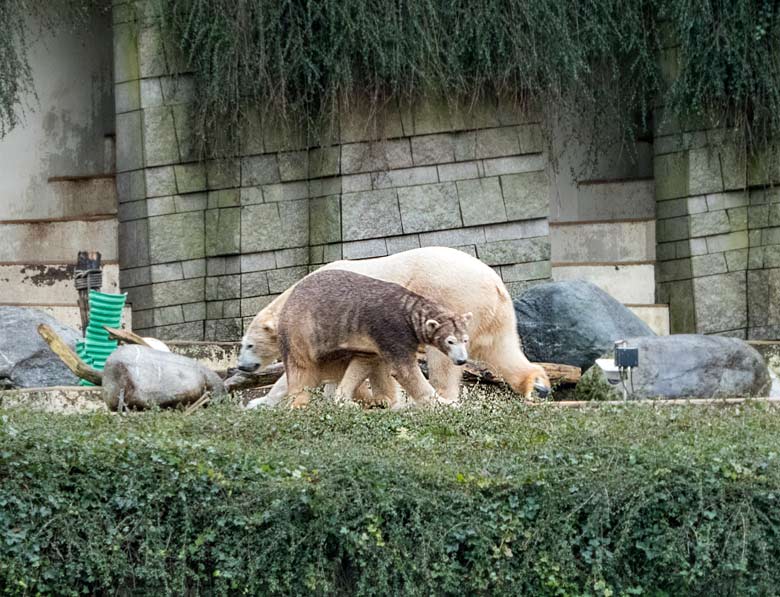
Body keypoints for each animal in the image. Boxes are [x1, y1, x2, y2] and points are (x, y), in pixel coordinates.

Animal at [278, 268, 472, 406]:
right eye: (450, 341)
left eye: (465, 340)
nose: (462, 360)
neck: (408, 311)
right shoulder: (392, 330)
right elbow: (404, 370)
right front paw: (446, 404)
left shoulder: (370, 339)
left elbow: (363, 362)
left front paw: (347, 399)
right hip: (302, 331)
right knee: (301, 370)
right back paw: (299, 404)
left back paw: (370, 400)